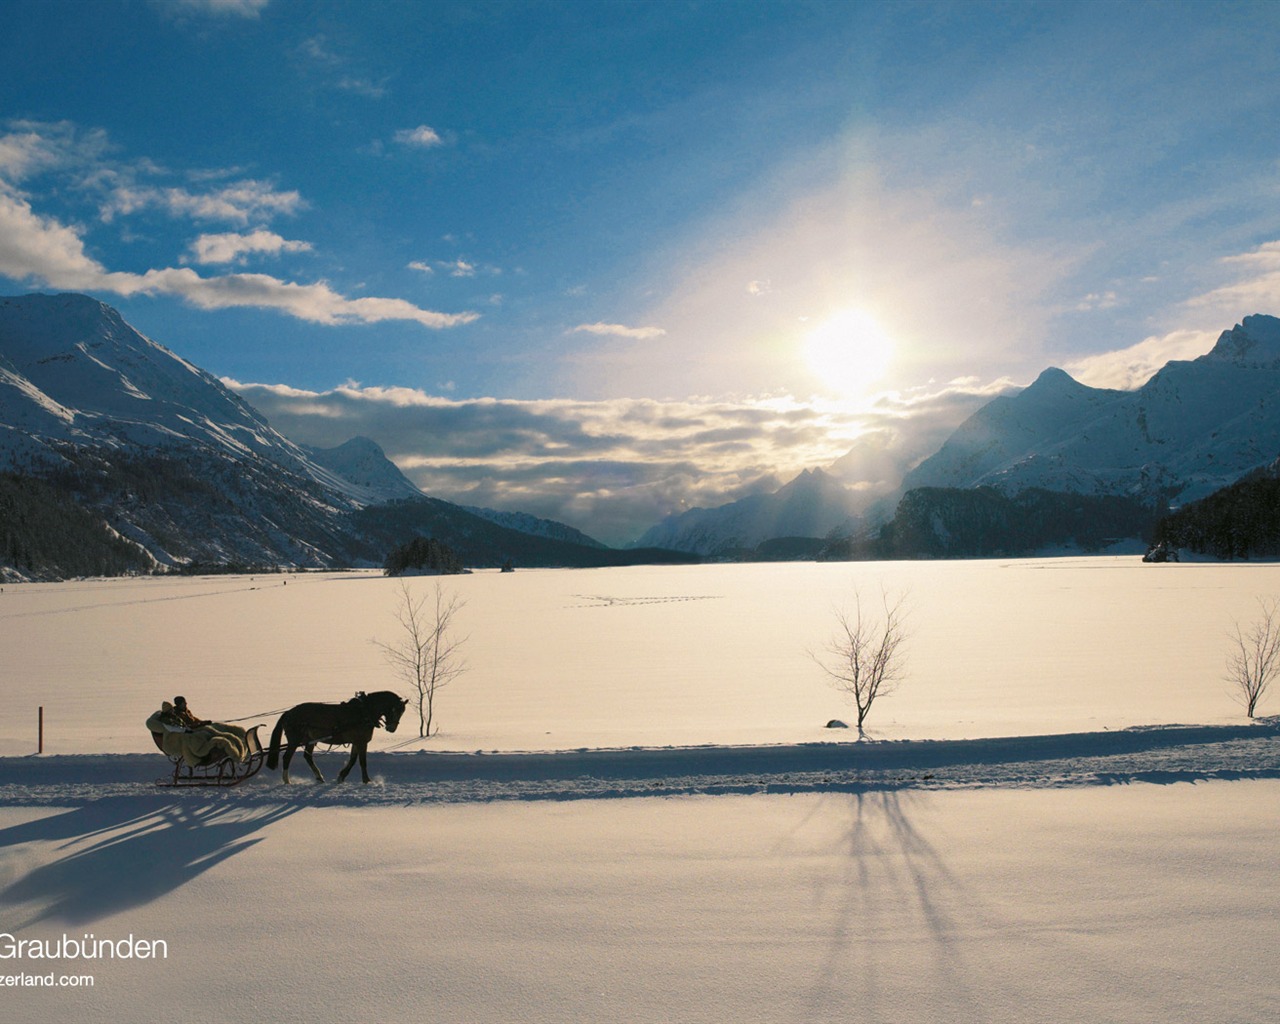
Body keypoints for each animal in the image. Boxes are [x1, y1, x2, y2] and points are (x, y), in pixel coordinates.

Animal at [267, 696, 407, 783]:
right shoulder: (361, 742)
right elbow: (362, 762)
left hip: (310, 740)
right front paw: (367, 780)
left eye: (402, 712)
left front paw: (341, 776)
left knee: (308, 757)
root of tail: (288, 713)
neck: (364, 713)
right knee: (287, 758)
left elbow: (352, 760)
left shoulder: (356, 742)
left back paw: (319, 778)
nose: (392, 728)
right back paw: (287, 780)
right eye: (395, 710)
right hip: (294, 741)